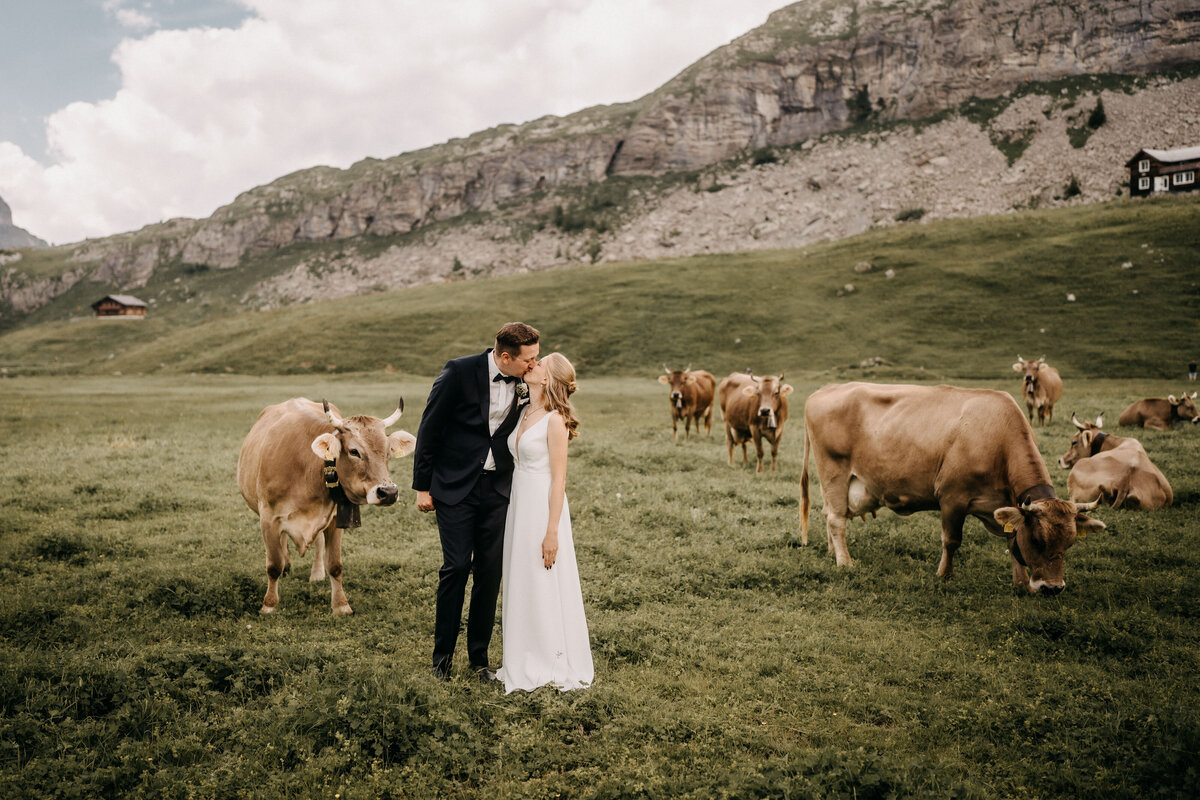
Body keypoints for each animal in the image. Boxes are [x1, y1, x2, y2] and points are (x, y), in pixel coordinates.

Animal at [237, 398, 417, 618]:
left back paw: (316, 574)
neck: (306, 469)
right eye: (354, 451)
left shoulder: (334, 519)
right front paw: (269, 605)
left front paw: (341, 605)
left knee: (318, 542)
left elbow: (335, 564)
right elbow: (273, 565)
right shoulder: (268, 519)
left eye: (387, 452)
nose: (389, 492)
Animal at [801, 383, 1099, 597]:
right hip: (834, 473)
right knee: (836, 520)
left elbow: (1011, 540)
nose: (1052, 588)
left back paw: (833, 553)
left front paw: (1021, 582)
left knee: (829, 514)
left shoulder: (1005, 505)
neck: (998, 437)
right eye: (1038, 539)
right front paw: (944, 575)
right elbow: (951, 540)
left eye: (1070, 542)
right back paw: (844, 562)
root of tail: (822, 391)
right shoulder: (952, 498)